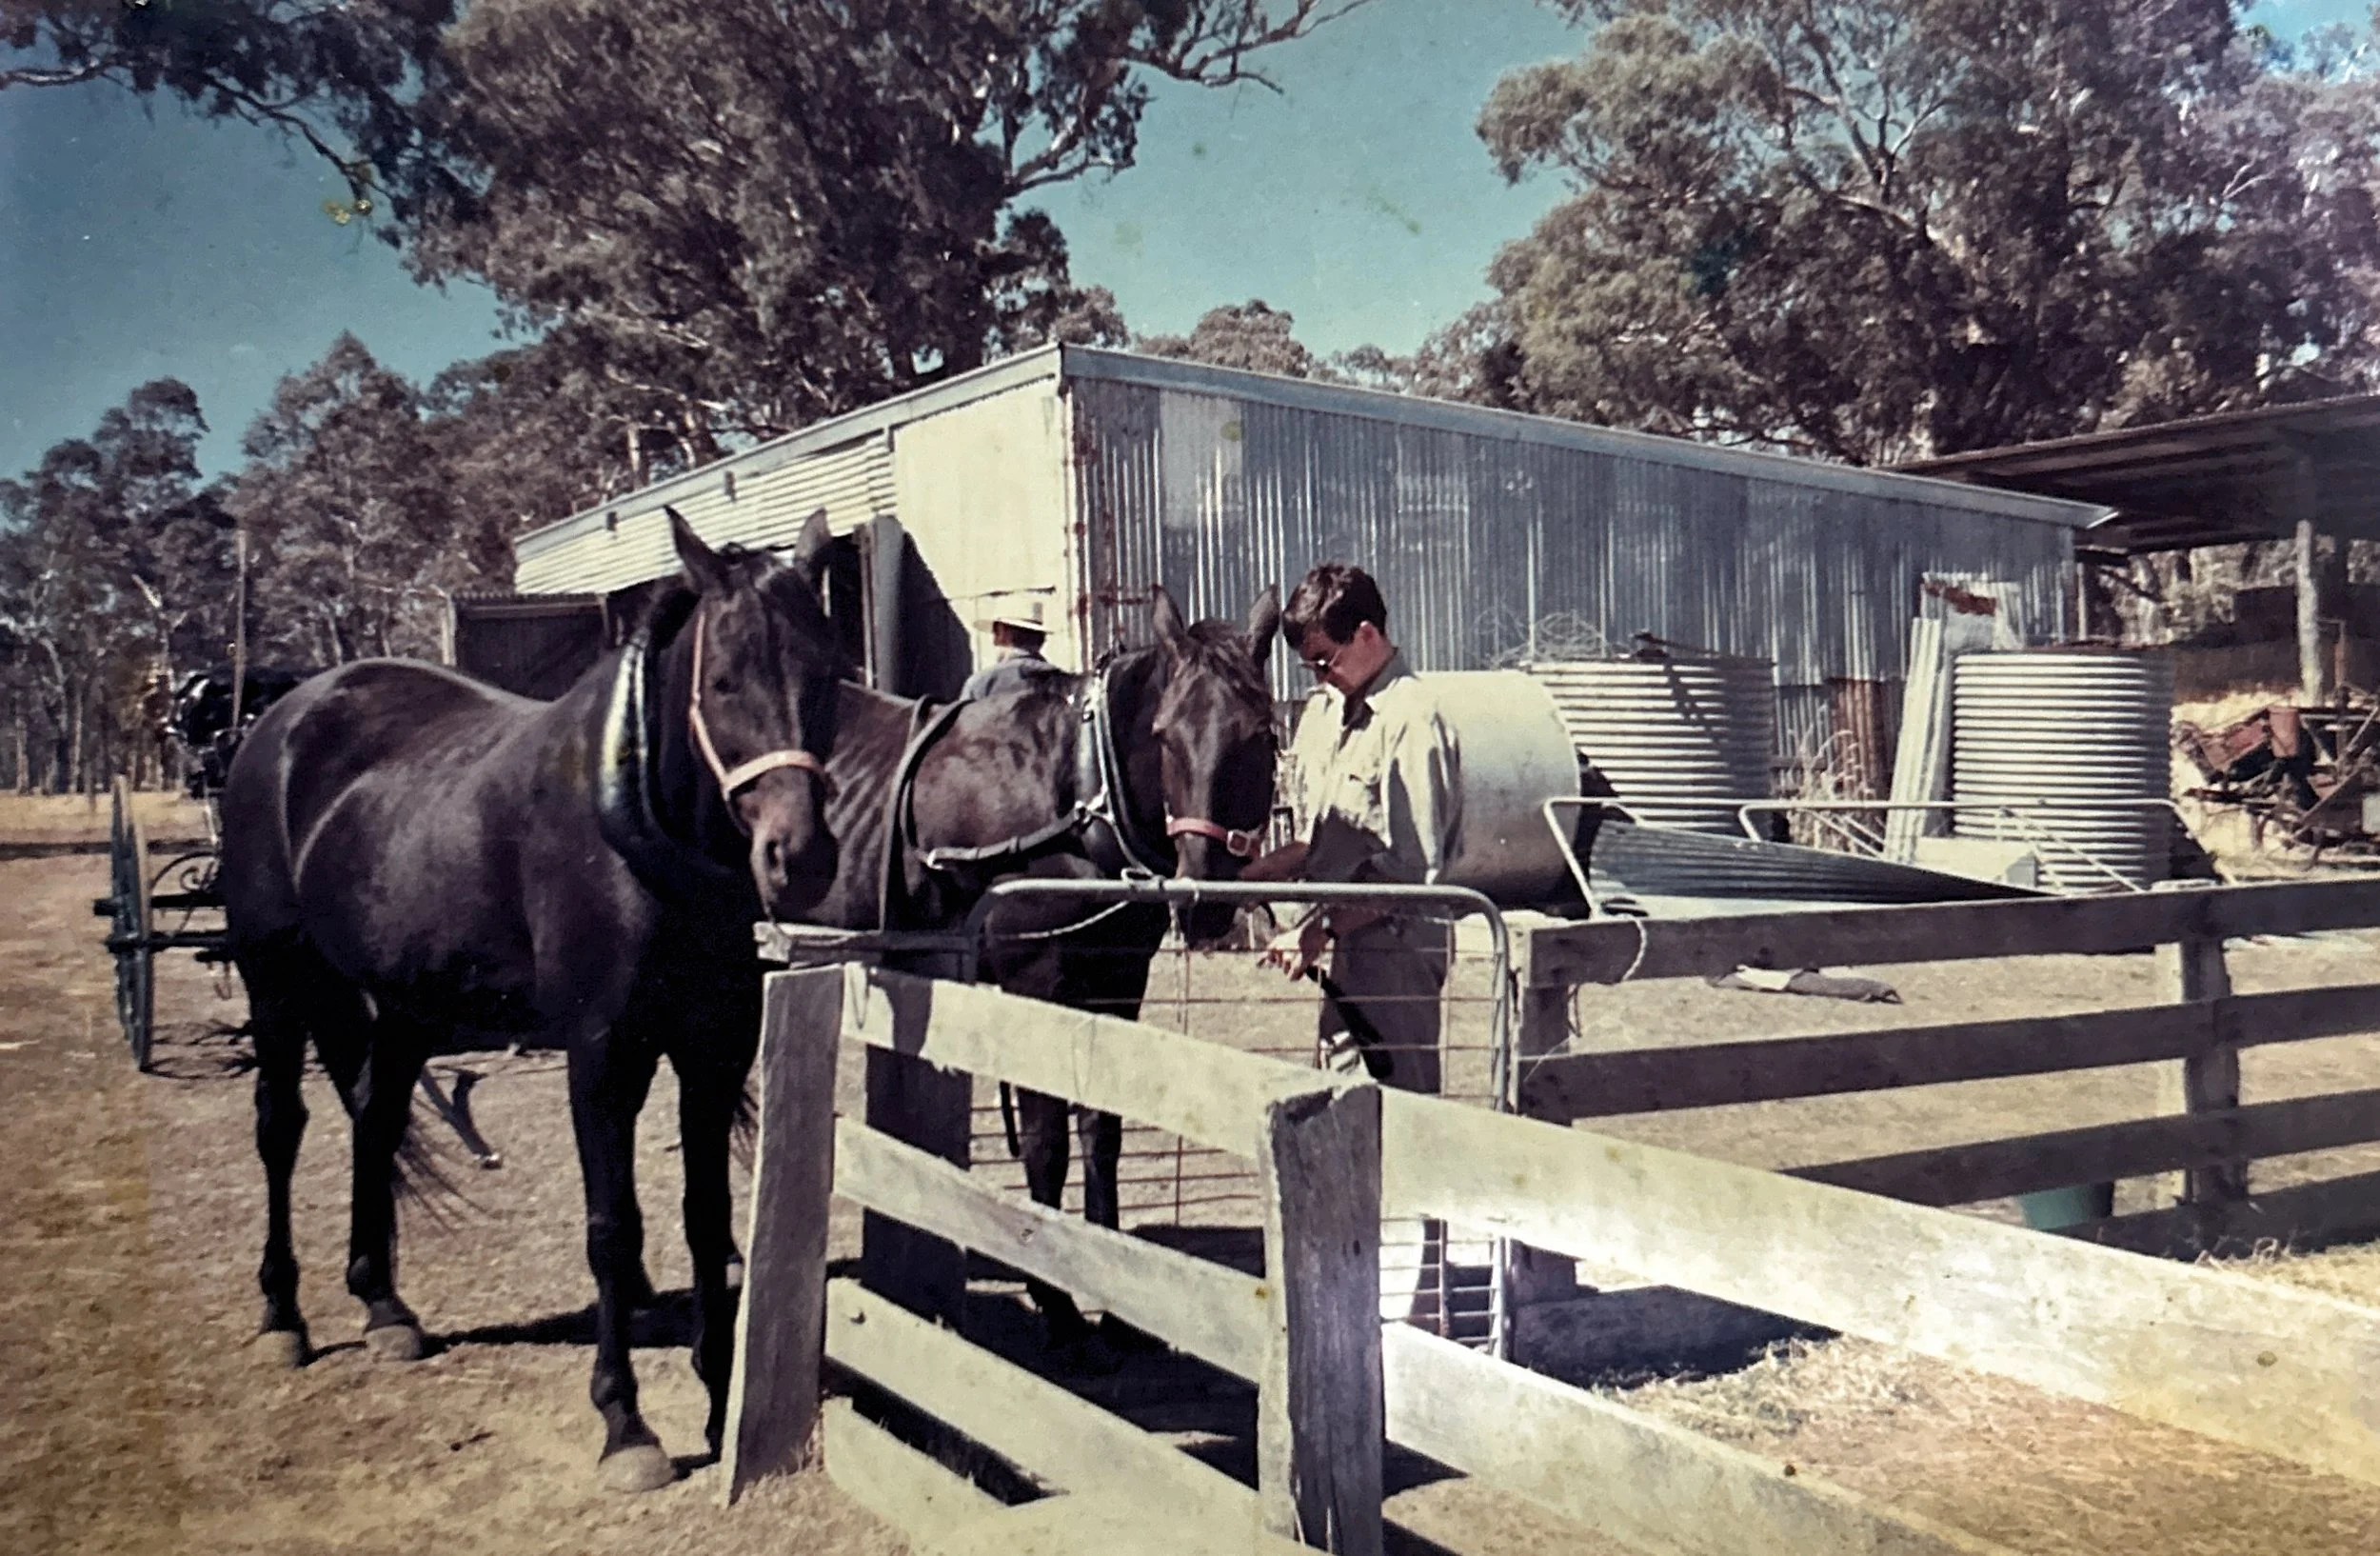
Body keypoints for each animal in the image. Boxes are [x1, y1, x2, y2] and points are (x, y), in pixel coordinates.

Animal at [215, 509, 850, 1494]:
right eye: (721, 680)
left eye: (825, 672)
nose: (801, 854)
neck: (634, 822)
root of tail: (278, 720)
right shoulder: (602, 1052)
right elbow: (613, 1230)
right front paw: (627, 1424)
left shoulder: (714, 1049)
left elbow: (706, 1219)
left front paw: (718, 1400)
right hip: (277, 980)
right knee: (281, 1127)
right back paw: (284, 1317)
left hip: (408, 1007)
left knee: (375, 1116)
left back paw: (384, 1306)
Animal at [793, 583, 1282, 1364]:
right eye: (1166, 735)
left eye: (1260, 732)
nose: (1203, 895)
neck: (1075, 787)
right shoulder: (1036, 985)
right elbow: (1048, 1143)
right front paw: (1057, 1306)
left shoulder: (1115, 984)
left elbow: (1102, 1132)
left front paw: (1117, 1304)